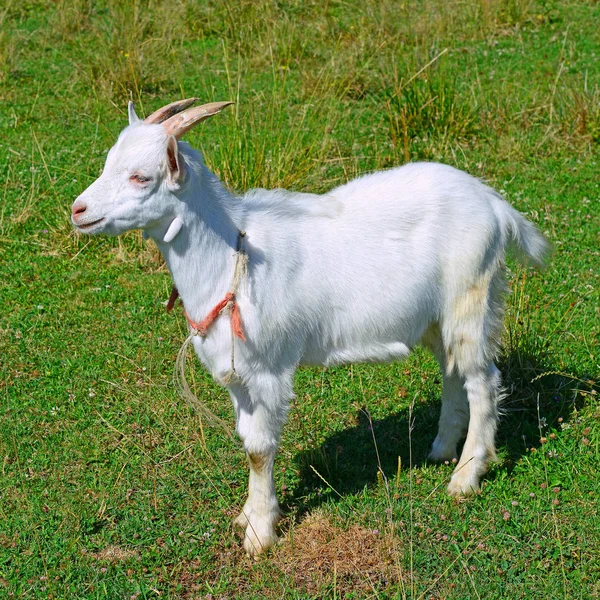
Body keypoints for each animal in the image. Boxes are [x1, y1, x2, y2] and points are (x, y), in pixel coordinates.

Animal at [70, 99, 548, 556]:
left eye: (140, 177)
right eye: (108, 162)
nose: (78, 210)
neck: (233, 255)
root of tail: (495, 204)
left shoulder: (268, 369)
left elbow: (259, 449)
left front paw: (260, 535)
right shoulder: (237, 376)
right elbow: (246, 439)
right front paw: (248, 515)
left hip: (471, 295)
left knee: (482, 380)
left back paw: (465, 477)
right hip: (436, 317)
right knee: (453, 372)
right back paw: (440, 450)